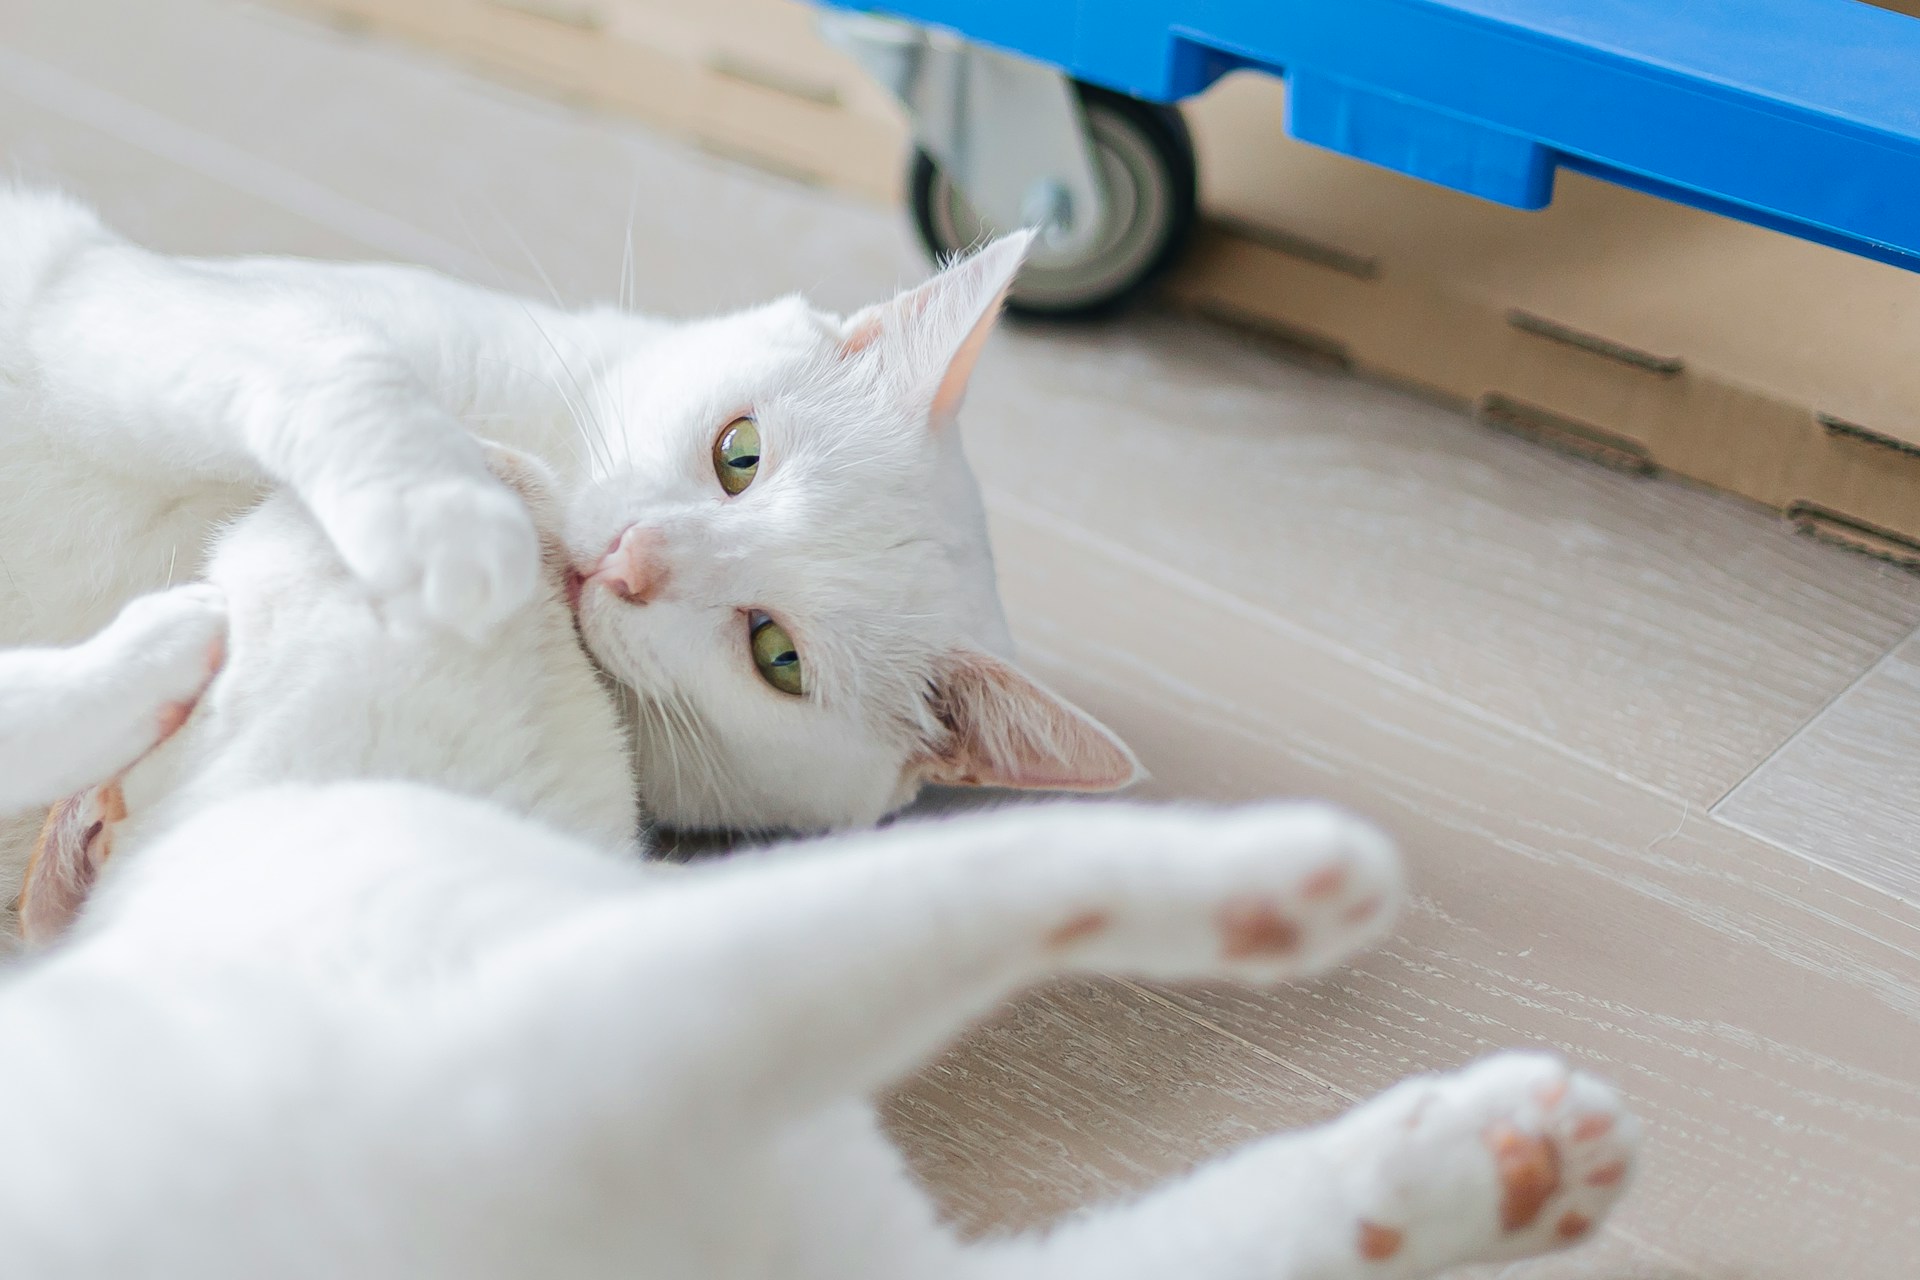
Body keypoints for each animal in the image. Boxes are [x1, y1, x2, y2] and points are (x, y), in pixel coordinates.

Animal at [0, 189, 1128, 909]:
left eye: (777, 654)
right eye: (740, 452)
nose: (633, 559)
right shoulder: (123, 304)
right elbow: (344, 359)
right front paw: (446, 514)